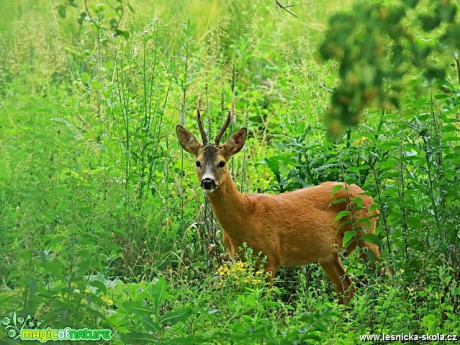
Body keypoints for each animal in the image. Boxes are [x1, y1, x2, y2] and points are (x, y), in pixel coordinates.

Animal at [176, 97, 380, 304]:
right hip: (328, 254)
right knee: (346, 288)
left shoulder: (269, 257)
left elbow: (265, 305)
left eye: (221, 163)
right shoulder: (239, 261)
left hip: (366, 235)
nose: (207, 181)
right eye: (198, 162)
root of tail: (368, 196)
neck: (245, 214)